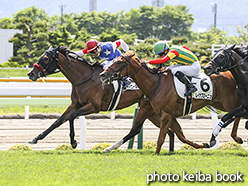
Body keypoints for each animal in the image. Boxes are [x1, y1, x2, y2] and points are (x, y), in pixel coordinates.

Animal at [28, 45, 212, 151]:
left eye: (45, 58)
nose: (31, 73)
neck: (84, 77)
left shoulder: (94, 106)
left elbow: (72, 117)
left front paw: (73, 142)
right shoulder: (75, 103)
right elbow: (58, 121)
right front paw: (35, 138)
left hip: (150, 108)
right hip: (152, 110)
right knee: (170, 130)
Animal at [100, 51, 242, 154]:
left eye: (119, 62)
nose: (103, 75)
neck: (156, 83)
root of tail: (232, 74)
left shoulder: (166, 114)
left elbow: (161, 137)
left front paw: (156, 154)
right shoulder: (167, 115)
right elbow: (180, 136)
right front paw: (204, 144)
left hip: (229, 103)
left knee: (238, 113)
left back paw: (235, 136)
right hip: (218, 103)